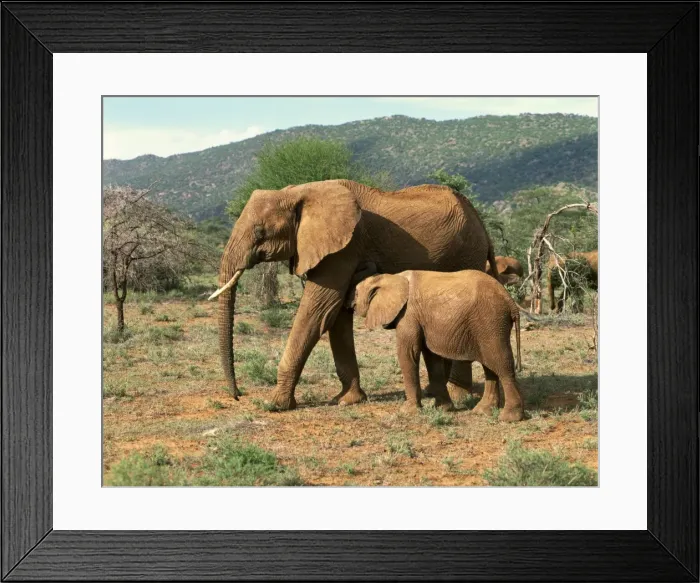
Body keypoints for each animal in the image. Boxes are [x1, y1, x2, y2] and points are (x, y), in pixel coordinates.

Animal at [210, 179, 500, 411]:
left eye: (260, 232)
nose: (238, 395)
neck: (298, 192)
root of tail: (482, 223)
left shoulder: (343, 249)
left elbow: (318, 311)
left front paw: (275, 405)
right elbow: (335, 316)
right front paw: (348, 400)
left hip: (466, 253)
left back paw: (459, 396)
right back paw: (434, 392)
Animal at [353, 270, 524, 422]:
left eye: (355, 294)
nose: (352, 306)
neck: (391, 277)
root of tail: (511, 303)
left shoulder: (408, 315)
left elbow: (408, 353)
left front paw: (407, 412)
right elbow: (431, 357)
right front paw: (444, 409)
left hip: (491, 322)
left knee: (502, 364)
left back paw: (509, 418)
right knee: (490, 366)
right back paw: (482, 411)